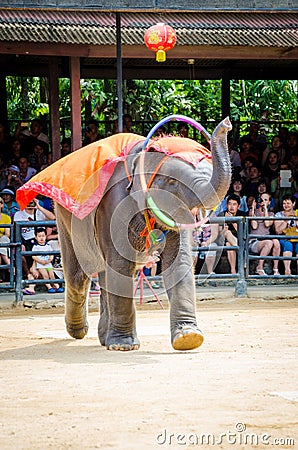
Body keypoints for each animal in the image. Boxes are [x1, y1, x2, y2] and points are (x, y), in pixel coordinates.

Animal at [16, 116, 233, 352]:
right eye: (173, 182)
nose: (227, 124)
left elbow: (179, 262)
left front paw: (189, 338)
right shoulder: (115, 203)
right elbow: (121, 264)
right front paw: (124, 347)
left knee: (103, 276)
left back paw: (104, 337)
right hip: (65, 218)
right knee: (78, 276)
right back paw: (79, 331)